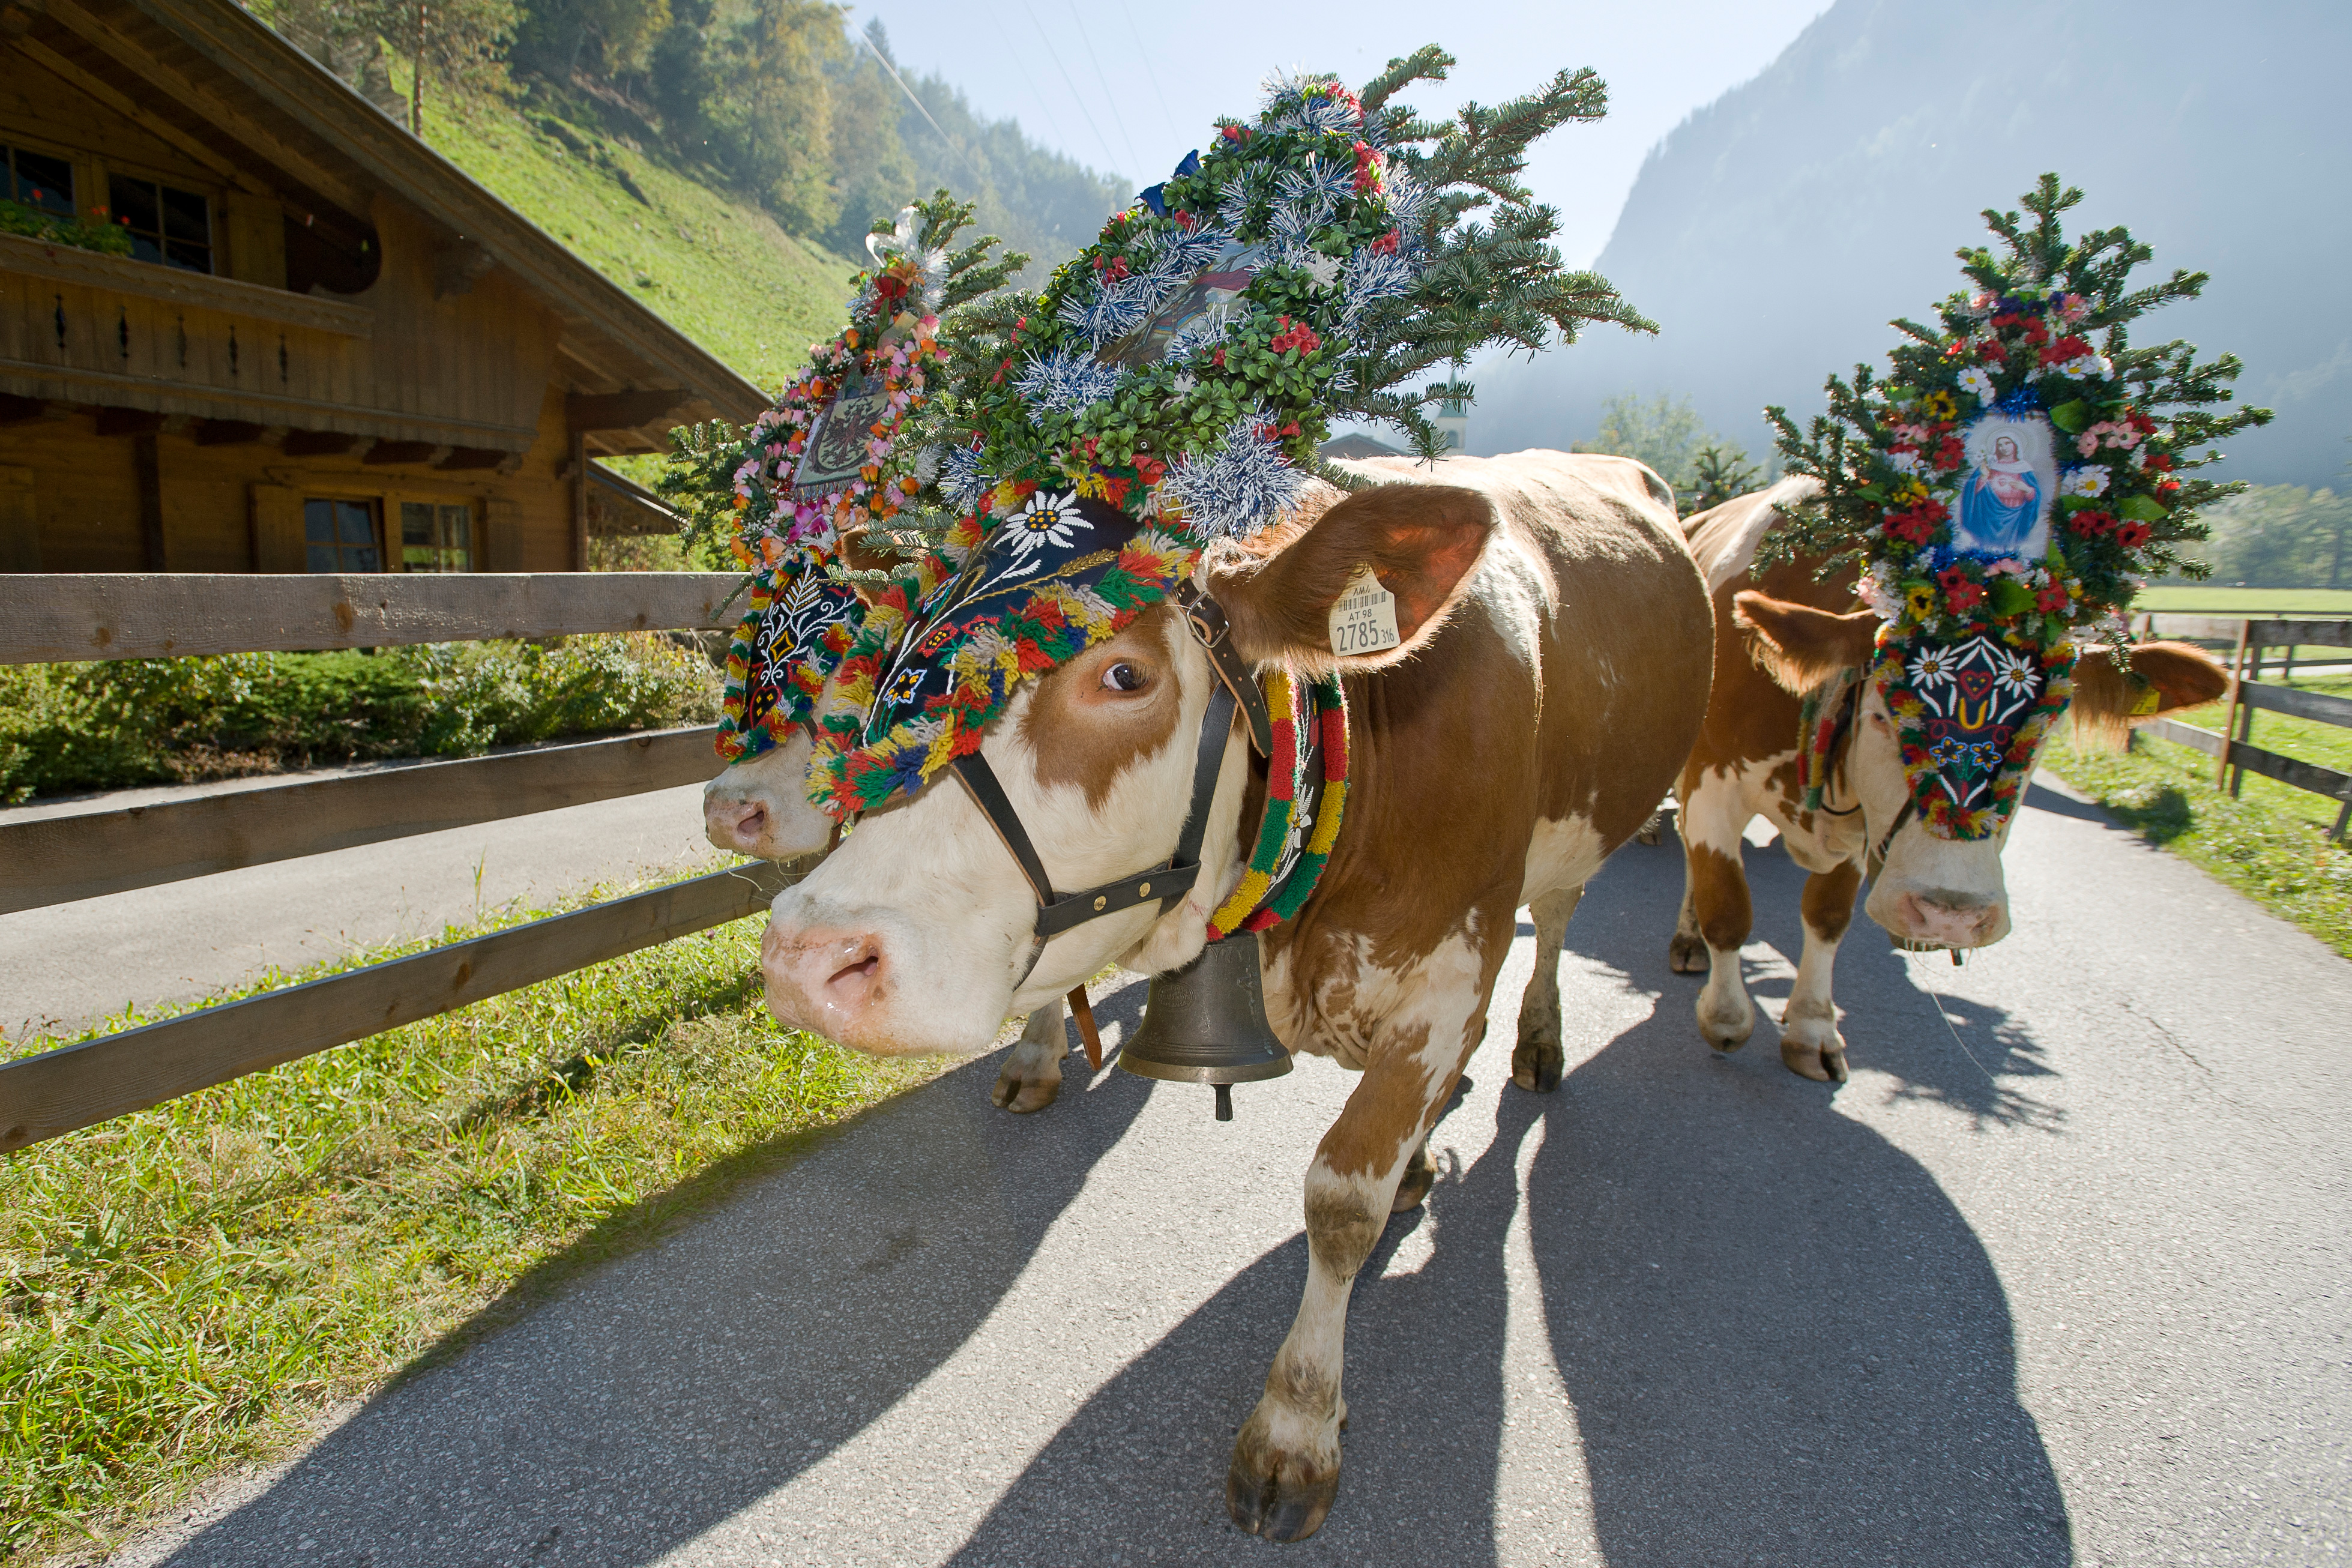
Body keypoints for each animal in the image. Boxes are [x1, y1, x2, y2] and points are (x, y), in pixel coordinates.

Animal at [755, 449, 1715, 1540]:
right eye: (894, 663)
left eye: (1125, 675)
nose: (805, 956)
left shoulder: (1448, 976)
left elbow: (1340, 1199)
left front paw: (1293, 1429)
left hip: (1571, 850)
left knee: (1552, 924)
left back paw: (1538, 1044)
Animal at [1672, 476, 2231, 1082]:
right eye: (1882, 716)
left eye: (2042, 731)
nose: (1951, 916)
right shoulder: (1712, 782)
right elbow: (1727, 905)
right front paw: (1726, 1018)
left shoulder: (1860, 828)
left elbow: (1827, 917)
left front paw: (1813, 1029)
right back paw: (1689, 939)